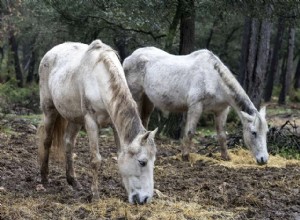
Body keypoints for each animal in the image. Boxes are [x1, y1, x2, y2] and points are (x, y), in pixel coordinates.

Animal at [38, 40, 157, 205]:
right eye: (142, 162)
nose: (145, 199)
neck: (100, 81)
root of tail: (50, 52)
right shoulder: (91, 122)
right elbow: (95, 159)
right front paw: (95, 195)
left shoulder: (114, 125)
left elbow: (119, 154)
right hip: (49, 110)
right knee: (47, 141)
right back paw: (44, 177)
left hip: (75, 119)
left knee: (68, 142)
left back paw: (73, 180)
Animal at [123, 47, 268, 166]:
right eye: (254, 132)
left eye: (266, 132)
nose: (263, 160)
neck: (214, 79)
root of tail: (129, 57)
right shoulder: (195, 107)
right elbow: (190, 131)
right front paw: (186, 156)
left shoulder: (221, 110)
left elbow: (222, 135)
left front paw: (225, 157)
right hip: (136, 96)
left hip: (148, 101)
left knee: (144, 120)